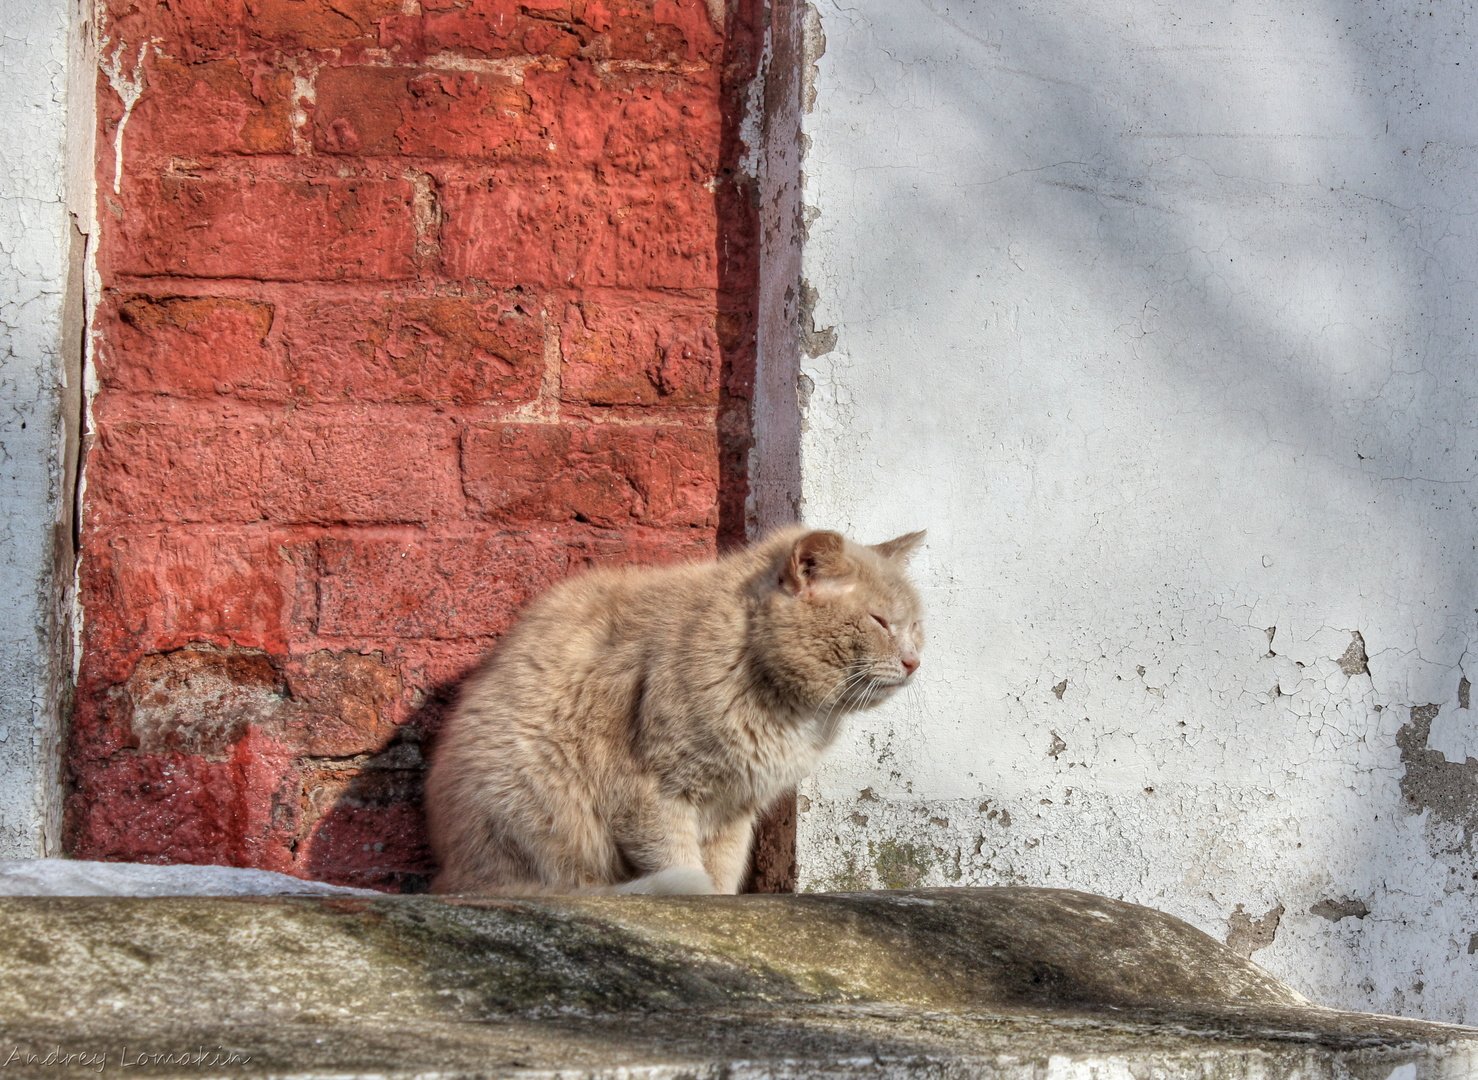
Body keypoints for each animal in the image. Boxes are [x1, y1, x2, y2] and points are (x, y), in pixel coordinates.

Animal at [422, 525, 922, 898]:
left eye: (916, 625)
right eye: (880, 622)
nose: (914, 661)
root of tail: (453, 879)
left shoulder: (733, 810)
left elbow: (722, 871)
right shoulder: (652, 795)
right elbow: (680, 864)